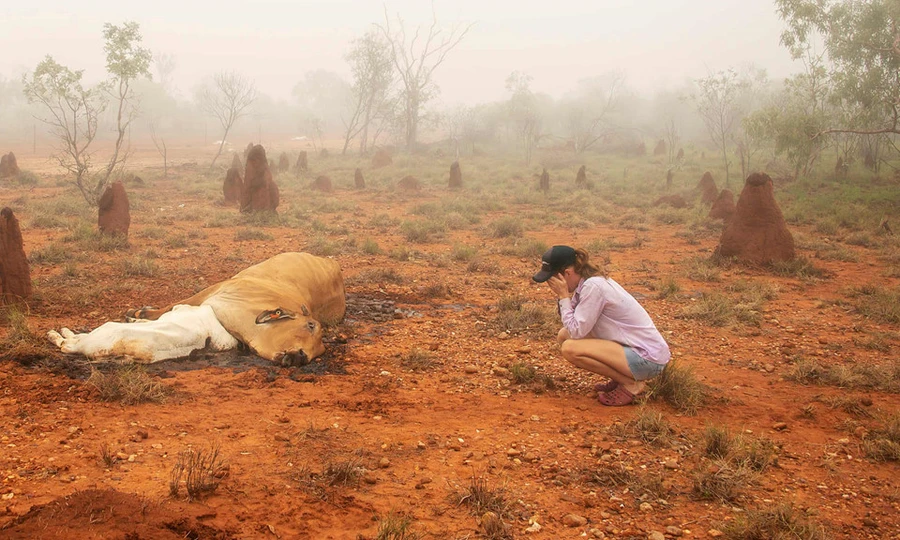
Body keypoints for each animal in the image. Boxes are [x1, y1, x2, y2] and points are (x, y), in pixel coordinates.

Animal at [47, 254, 346, 368]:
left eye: (321, 350)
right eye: (310, 326)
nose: (301, 357)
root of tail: (333, 266)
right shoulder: (213, 292)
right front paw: (139, 312)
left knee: (71, 342)